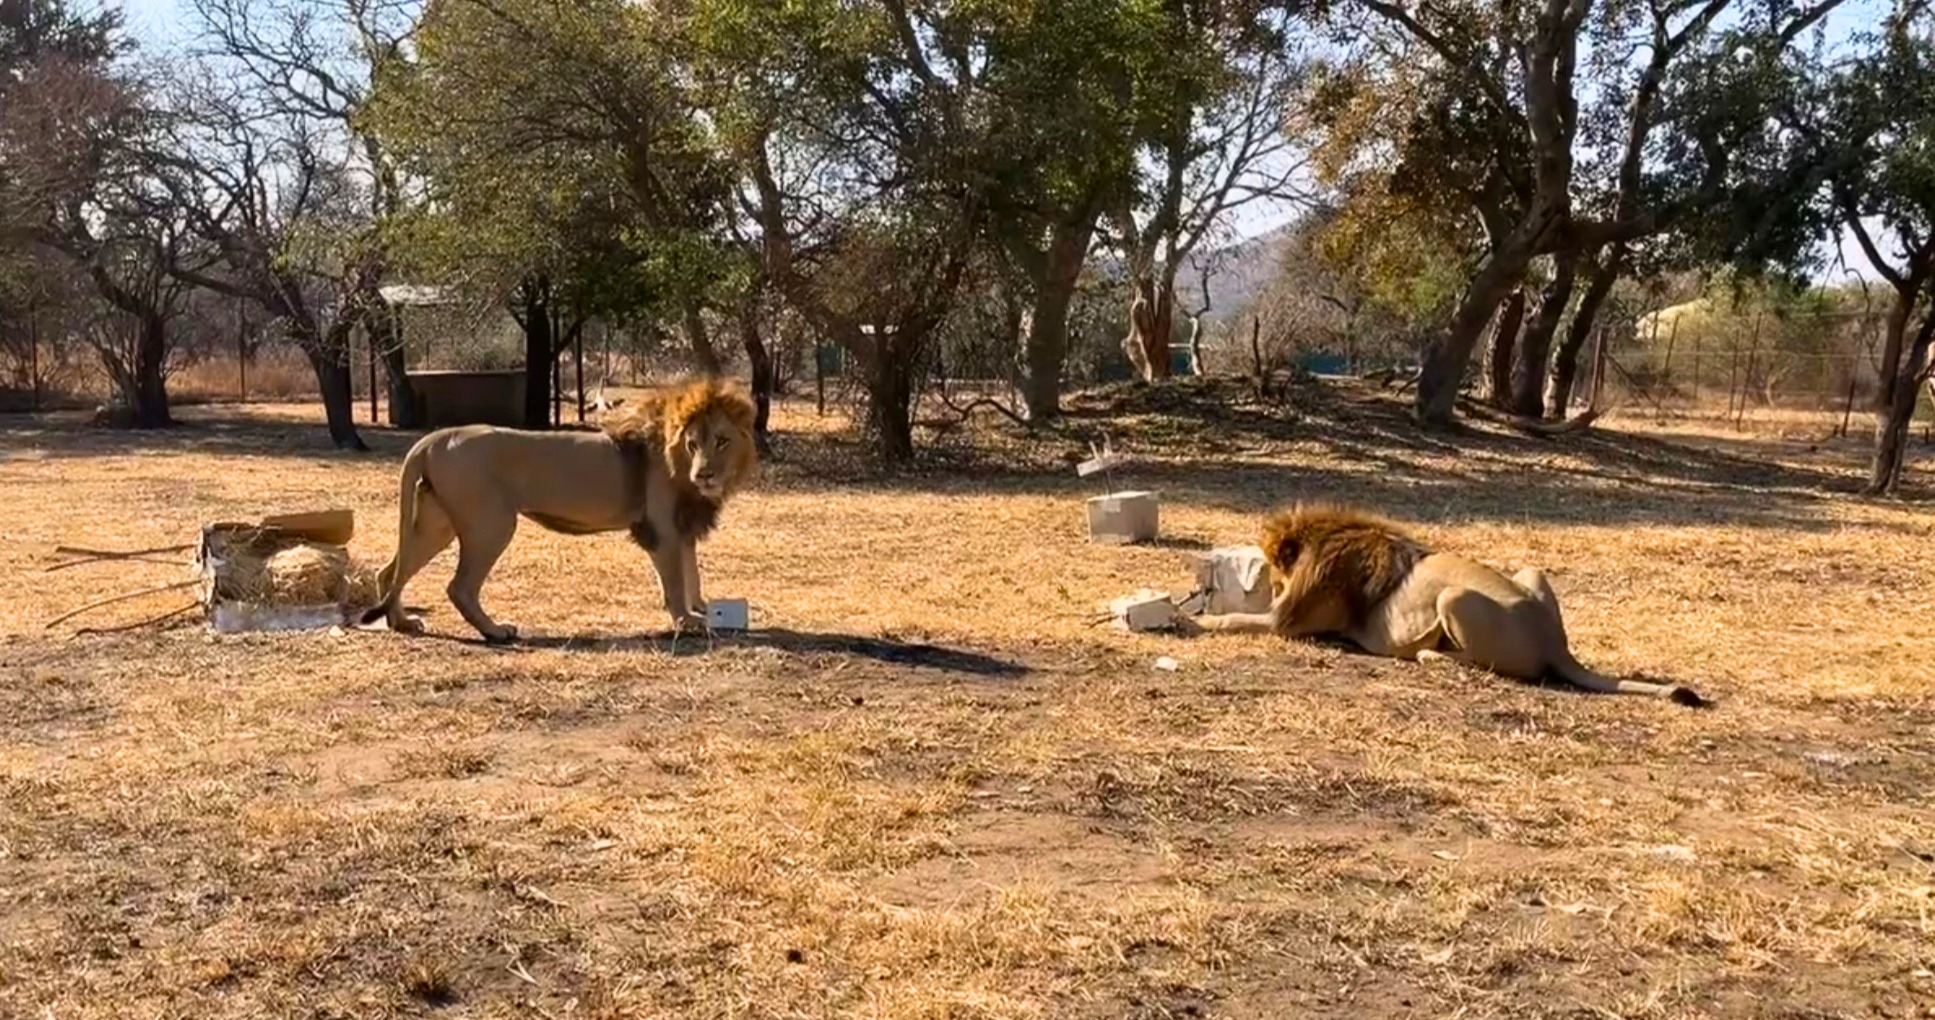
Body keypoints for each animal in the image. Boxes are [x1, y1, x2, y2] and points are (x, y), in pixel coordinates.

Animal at [359, 376, 758, 643]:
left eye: (722, 441)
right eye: (693, 444)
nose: (704, 474)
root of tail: (435, 437)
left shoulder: (683, 526)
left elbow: (693, 573)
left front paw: (703, 609)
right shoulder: (661, 528)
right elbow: (675, 580)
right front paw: (687, 621)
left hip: (436, 524)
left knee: (389, 572)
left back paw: (403, 623)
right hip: (492, 524)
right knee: (459, 587)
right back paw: (496, 631)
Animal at [1187, 503, 1708, 706]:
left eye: (1276, 578)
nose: (1275, 588)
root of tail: (1555, 644)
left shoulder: (1290, 624)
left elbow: (1233, 618)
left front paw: (1192, 621)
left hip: (1454, 597)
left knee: (1496, 666)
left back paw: (1428, 654)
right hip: (1531, 573)